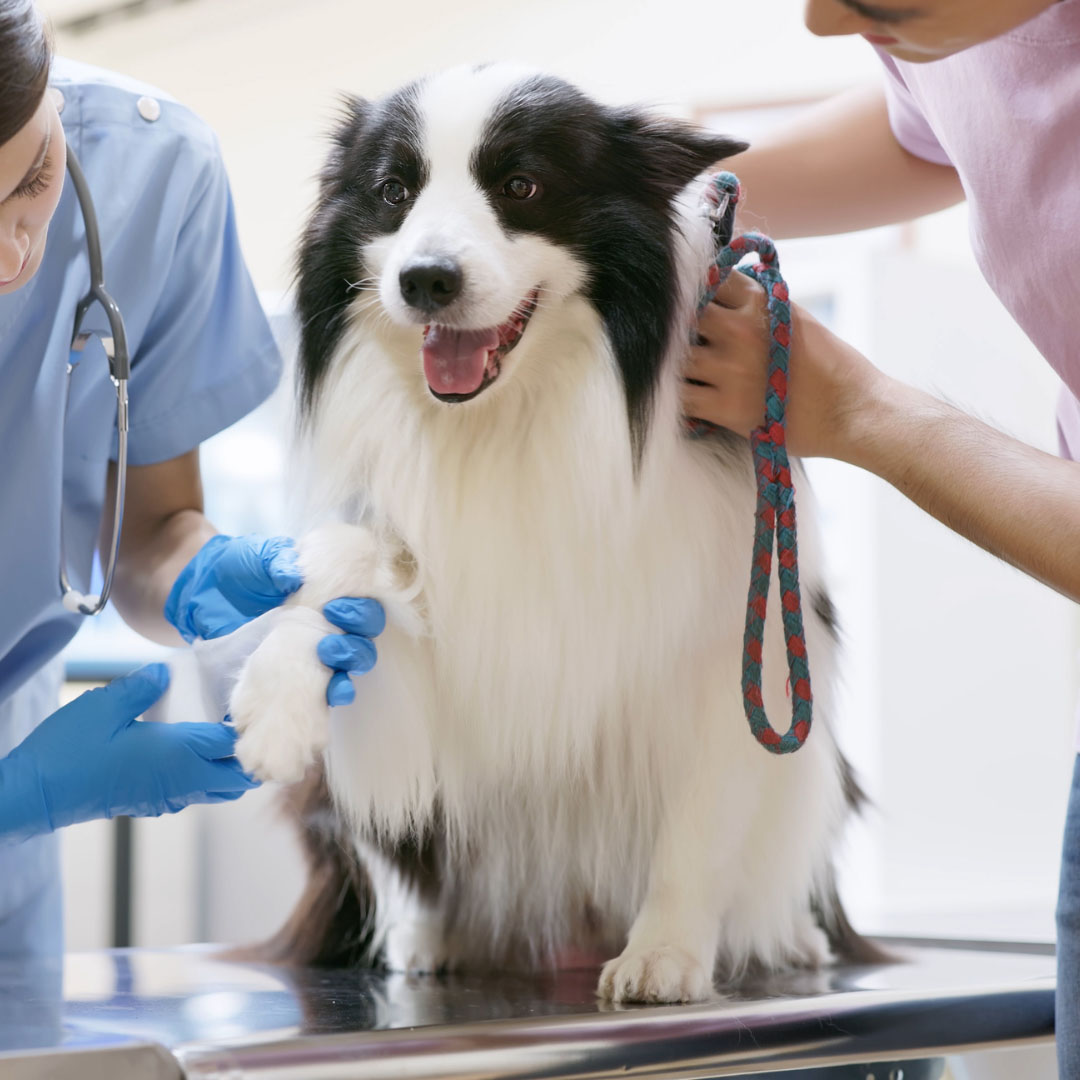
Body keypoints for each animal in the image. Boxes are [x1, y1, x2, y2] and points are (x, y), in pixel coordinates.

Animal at [221, 59, 876, 1002]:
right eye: (394, 192)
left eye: (521, 185)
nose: (424, 280)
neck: (509, 420)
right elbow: (344, 565)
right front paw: (275, 702)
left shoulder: (727, 649)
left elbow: (699, 824)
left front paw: (664, 954)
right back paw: (426, 937)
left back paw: (791, 937)